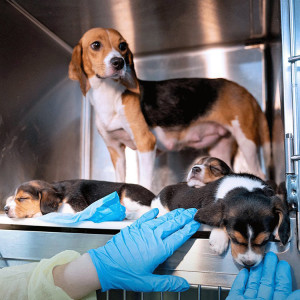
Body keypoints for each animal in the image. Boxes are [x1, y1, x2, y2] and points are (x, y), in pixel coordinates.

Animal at [70, 27, 272, 189]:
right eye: (96, 45)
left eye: (122, 46)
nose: (119, 62)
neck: (109, 95)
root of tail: (244, 90)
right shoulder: (115, 150)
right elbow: (120, 178)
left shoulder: (146, 143)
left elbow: (145, 182)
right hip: (220, 148)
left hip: (246, 139)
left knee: (259, 174)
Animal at [152, 158, 290, 266]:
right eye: (234, 239)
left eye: (265, 241)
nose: (249, 264)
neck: (246, 188)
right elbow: (219, 221)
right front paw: (218, 240)